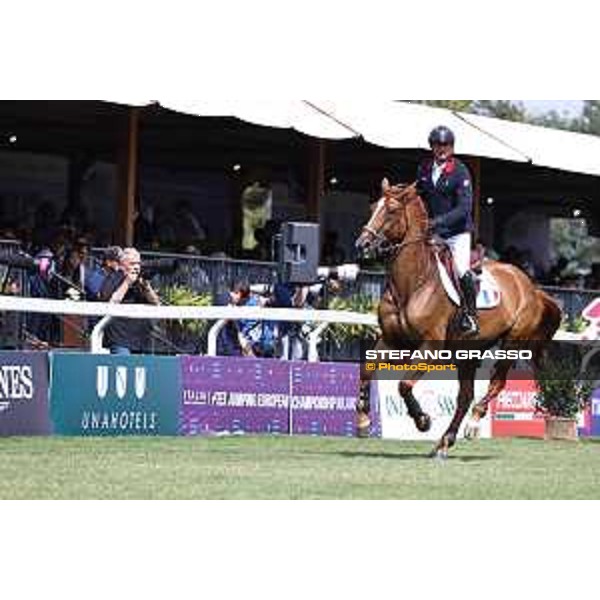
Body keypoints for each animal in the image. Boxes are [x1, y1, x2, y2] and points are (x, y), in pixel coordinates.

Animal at [354, 180, 560, 458]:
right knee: (465, 396)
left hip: (512, 343)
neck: (412, 284)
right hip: (469, 353)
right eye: (373, 207)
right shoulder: (391, 340)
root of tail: (530, 286)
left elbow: (404, 384)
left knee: (496, 383)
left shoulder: (430, 346)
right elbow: (366, 370)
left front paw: (422, 420)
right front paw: (364, 419)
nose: (362, 245)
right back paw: (444, 442)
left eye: (393, 210)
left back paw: (473, 424)